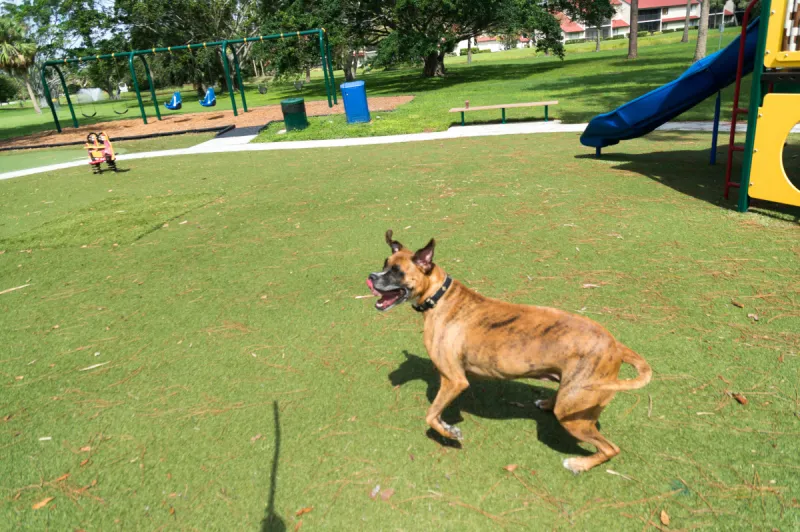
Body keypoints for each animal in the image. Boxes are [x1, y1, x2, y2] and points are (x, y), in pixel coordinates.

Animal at [368, 231, 648, 472]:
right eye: (385, 264)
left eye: (397, 272)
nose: (371, 276)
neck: (439, 296)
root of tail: (615, 345)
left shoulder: (454, 381)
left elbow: (431, 415)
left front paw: (450, 432)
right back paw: (547, 402)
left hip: (574, 414)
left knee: (610, 449)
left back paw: (579, 464)